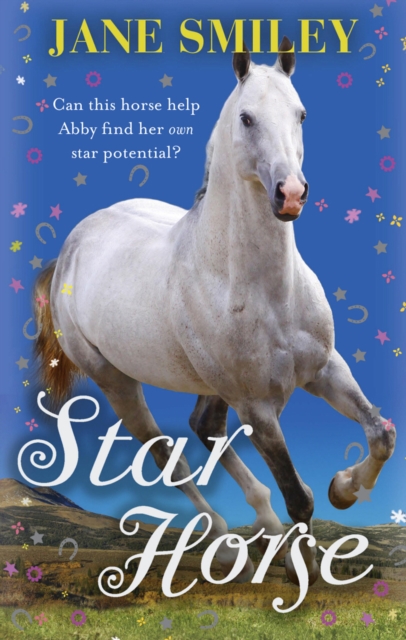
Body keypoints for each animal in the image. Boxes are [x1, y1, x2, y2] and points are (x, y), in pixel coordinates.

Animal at [33, 38, 395, 586]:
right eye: (246, 118)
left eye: (301, 113)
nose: (291, 194)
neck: (264, 291)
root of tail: (71, 247)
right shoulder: (257, 406)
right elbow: (297, 494)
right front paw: (305, 567)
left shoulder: (325, 370)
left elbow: (380, 433)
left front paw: (343, 490)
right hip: (115, 380)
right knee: (167, 456)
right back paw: (228, 547)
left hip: (209, 382)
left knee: (203, 425)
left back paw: (263, 532)